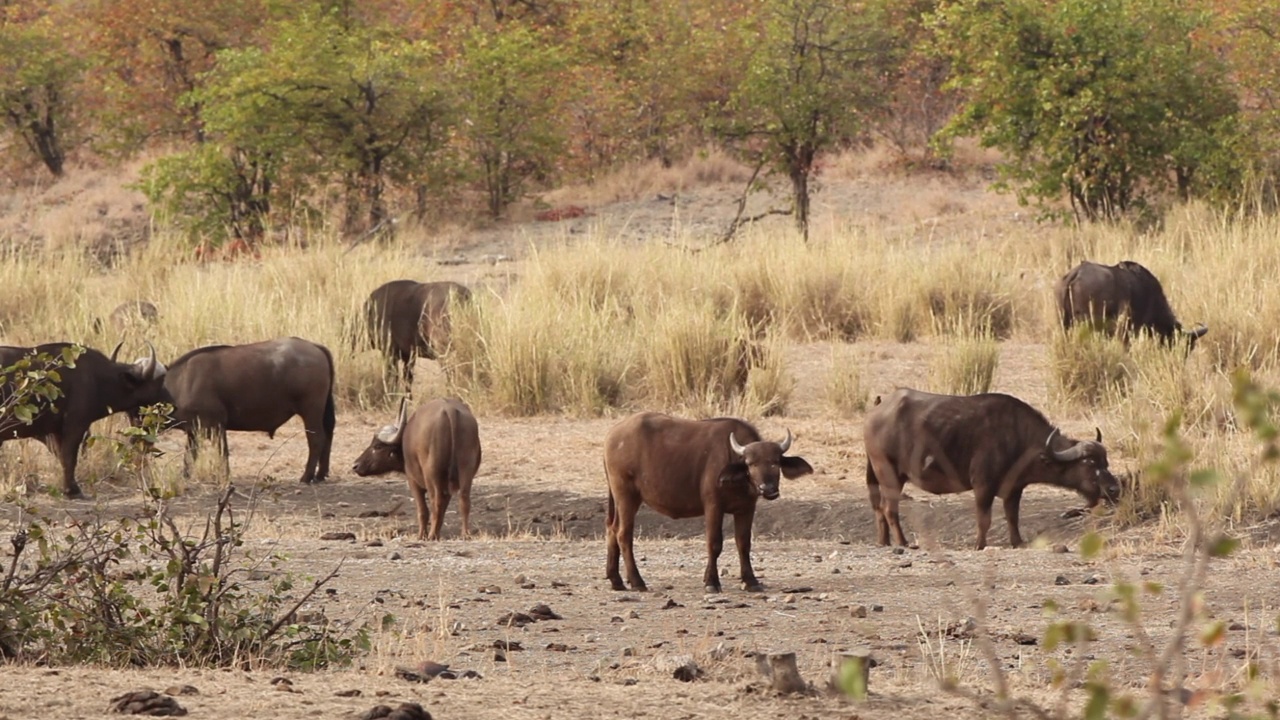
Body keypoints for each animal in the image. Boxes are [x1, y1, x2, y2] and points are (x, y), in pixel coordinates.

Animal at [159, 335, 335, 481]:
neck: (182, 381)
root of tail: (315, 346)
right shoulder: (193, 430)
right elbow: (190, 455)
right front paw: (185, 476)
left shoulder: (217, 426)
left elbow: (222, 452)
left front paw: (225, 477)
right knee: (328, 435)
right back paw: (321, 474)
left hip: (311, 411)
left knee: (317, 439)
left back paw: (307, 476)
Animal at [350, 392, 481, 538]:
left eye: (377, 446)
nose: (355, 465)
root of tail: (450, 410)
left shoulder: (413, 482)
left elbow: (422, 510)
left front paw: (422, 535)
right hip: (466, 469)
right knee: (464, 499)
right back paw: (464, 533)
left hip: (432, 475)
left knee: (436, 501)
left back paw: (431, 535)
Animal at [604, 412, 814, 591]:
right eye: (751, 464)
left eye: (775, 462)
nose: (768, 489)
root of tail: (612, 435)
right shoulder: (713, 506)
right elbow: (714, 543)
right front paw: (712, 581)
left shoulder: (747, 508)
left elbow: (744, 543)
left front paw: (751, 580)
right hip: (627, 496)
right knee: (623, 533)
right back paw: (637, 581)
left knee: (612, 528)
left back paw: (616, 580)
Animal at [860, 386, 1121, 548]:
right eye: (1089, 462)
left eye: (1106, 462)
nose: (1114, 489)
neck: (1019, 438)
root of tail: (876, 410)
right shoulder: (983, 485)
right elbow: (984, 519)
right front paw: (980, 544)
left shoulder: (1014, 489)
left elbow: (1012, 516)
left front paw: (1017, 541)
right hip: (888, 473)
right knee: (889, 509)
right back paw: (903, 542)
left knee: (879, 508)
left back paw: (884, 542)